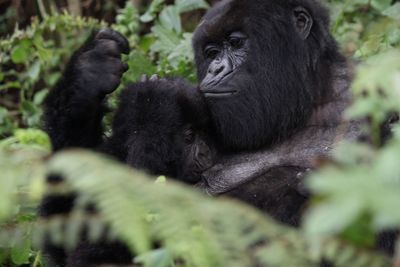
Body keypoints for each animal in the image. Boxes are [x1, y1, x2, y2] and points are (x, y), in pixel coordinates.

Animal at [41, 0, 368, 266]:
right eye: (211, 53)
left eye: (236, 43)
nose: (215, 69)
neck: (308, 101)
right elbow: (70, 233)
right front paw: (88, 74)